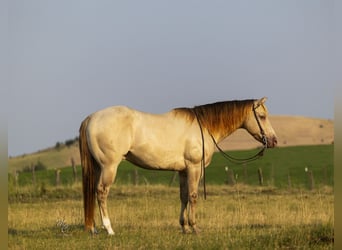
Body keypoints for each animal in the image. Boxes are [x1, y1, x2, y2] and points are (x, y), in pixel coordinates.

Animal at [79, 97, 276, 234]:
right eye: (262, 116)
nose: (273, 140)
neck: (204, 126)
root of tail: (92, 117)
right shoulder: (195, 168)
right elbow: (194, 196)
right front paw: (195, 227)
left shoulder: (183, 171)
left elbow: (183, 197)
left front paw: (184, 227)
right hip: (109, 167)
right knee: (101, 192)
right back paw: (109, 229)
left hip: (98, 167)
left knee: (93, 192)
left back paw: (93, 228)